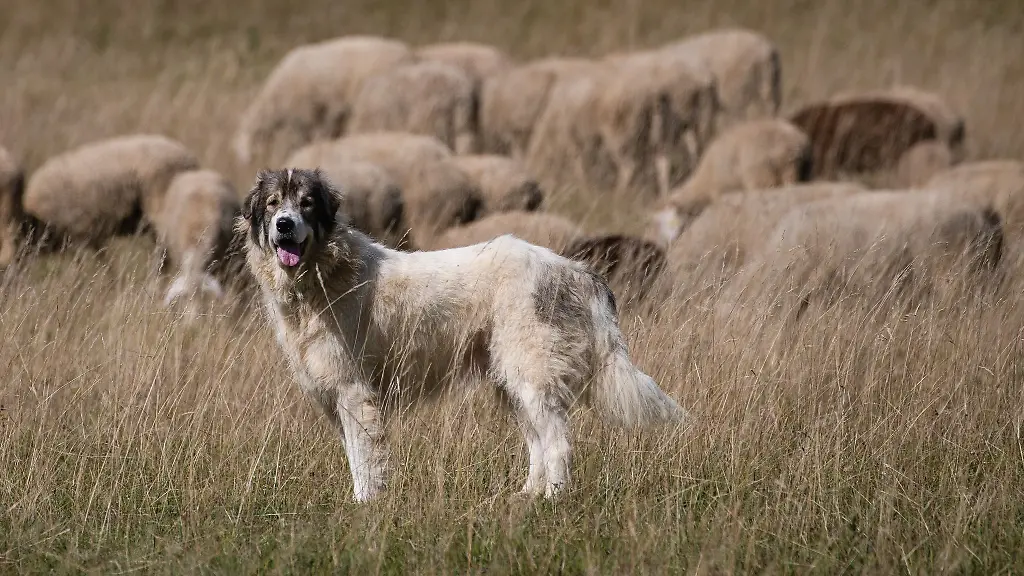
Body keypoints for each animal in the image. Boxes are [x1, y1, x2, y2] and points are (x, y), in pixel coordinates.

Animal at [649, 118, 813, 244]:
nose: (656, 246)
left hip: (762, 175)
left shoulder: (720, 194)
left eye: (661, 223)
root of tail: (795, 140)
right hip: (797, 169)